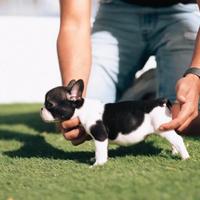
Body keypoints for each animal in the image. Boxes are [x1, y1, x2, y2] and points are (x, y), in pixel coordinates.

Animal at [40, 79, 189, 166]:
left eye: (50, 104)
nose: (41, 109)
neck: (82, 108)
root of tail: (161, 101)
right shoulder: (102, 139)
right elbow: (102, 150)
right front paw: (96, 159)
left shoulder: (100, 136)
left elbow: (100, 150)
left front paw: (98, 164)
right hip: (166, 128)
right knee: (173, 140)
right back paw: (175, 153)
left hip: (162, 128)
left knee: (178, 139)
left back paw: (185, 157)